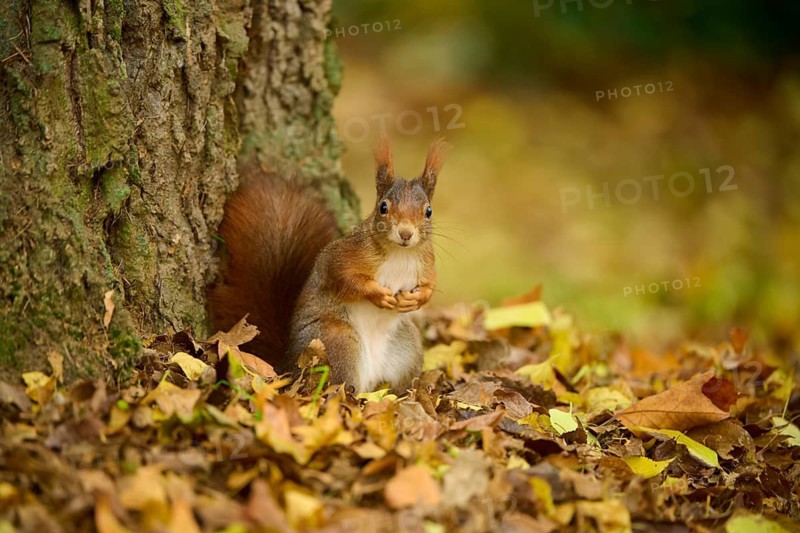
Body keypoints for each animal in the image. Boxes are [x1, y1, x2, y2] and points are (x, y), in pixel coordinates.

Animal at [208, 138, 447, 393]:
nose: (405, 233)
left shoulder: (426, 262)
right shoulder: (345, 255)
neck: (400, 253)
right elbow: (344, 277)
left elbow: (430, 284)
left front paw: (417, 299)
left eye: (428, 211)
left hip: (407, 349)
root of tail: (289, 366)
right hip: (337, 341)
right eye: (383, 207)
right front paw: (379, 295)